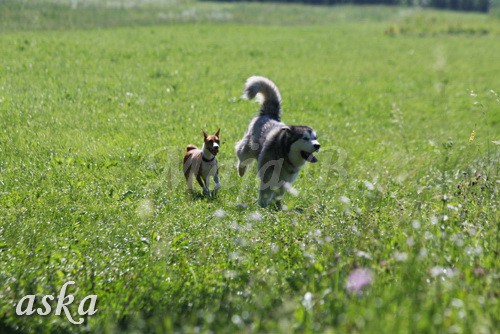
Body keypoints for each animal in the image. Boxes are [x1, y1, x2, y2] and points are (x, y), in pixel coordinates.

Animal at [235, 75, 320, 207]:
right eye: (305, 138)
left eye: (315, 138)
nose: (318, 146)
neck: (285, 155)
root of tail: (270, 114)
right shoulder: (268, 175)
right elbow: (265, 193)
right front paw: (262, 207)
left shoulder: (286, 180)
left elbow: (279, 194)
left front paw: (276, 207)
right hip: (247, 149)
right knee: (241, 156)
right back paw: (241, 170)